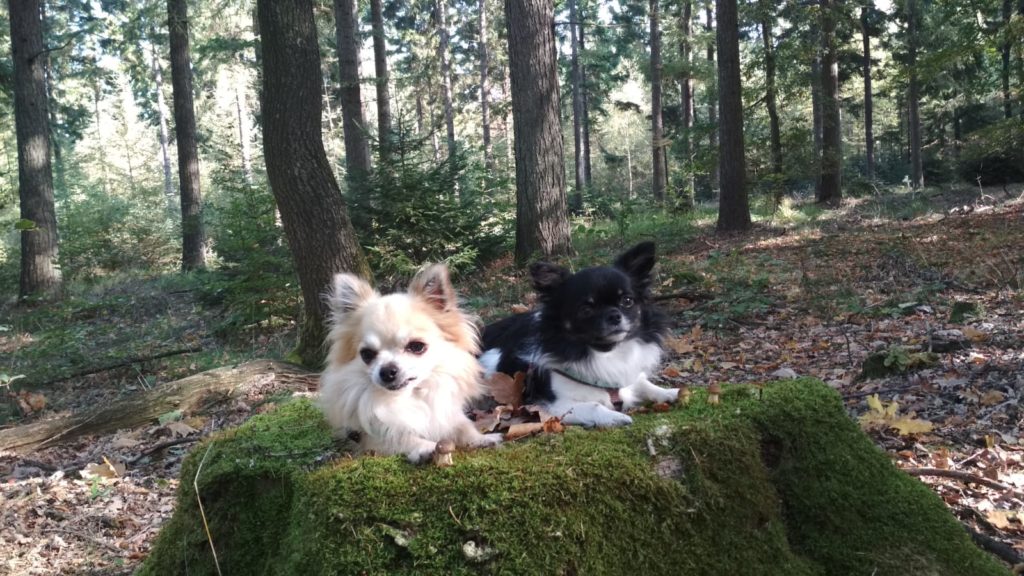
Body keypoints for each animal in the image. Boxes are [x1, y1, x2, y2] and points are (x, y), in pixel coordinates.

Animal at [319, 264, 502, 463]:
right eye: (367, 354)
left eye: (416, 346)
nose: (387, 371)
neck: (409, 396)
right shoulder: (370, 436)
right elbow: (401, 436)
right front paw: (425, 447)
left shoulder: (446, 415)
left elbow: (463, 425)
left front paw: (481, 438)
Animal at [480, 242, 677, 427]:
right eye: (586, 309)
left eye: (627, 301)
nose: (614, 315)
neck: (608, 353)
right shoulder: (551, 406)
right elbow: (593, 405)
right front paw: (615, 417)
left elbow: (644, 383)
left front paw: (671, 392)